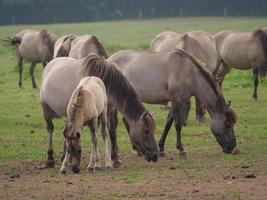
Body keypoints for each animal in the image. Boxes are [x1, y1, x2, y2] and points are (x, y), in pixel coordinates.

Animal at [108, 48, 238, 156]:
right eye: (227, 124)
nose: (232, 147)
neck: (188, 72)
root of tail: (109, 60)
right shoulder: (176, 101)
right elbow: (177, 125)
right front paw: (181, 149)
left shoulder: (175, 101)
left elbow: (168, 124)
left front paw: (161, 148)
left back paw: (137, 149)